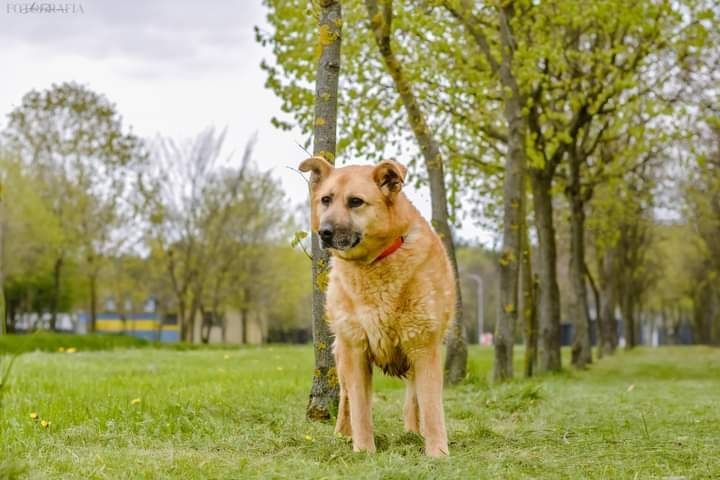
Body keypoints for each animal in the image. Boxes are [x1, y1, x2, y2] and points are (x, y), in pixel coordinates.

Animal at [300, 156, 456, 456]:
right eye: (325, 199)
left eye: (356, 201)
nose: (324, 232)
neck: (375, 262)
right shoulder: (356, 350)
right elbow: (361, 409)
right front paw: (363, 450)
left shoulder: (424, 347)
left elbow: (431, 408)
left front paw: (437, 453)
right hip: (343, 356)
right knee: (346, 399)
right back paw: (343, 434)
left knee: (413, 397)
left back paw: (413, 431)